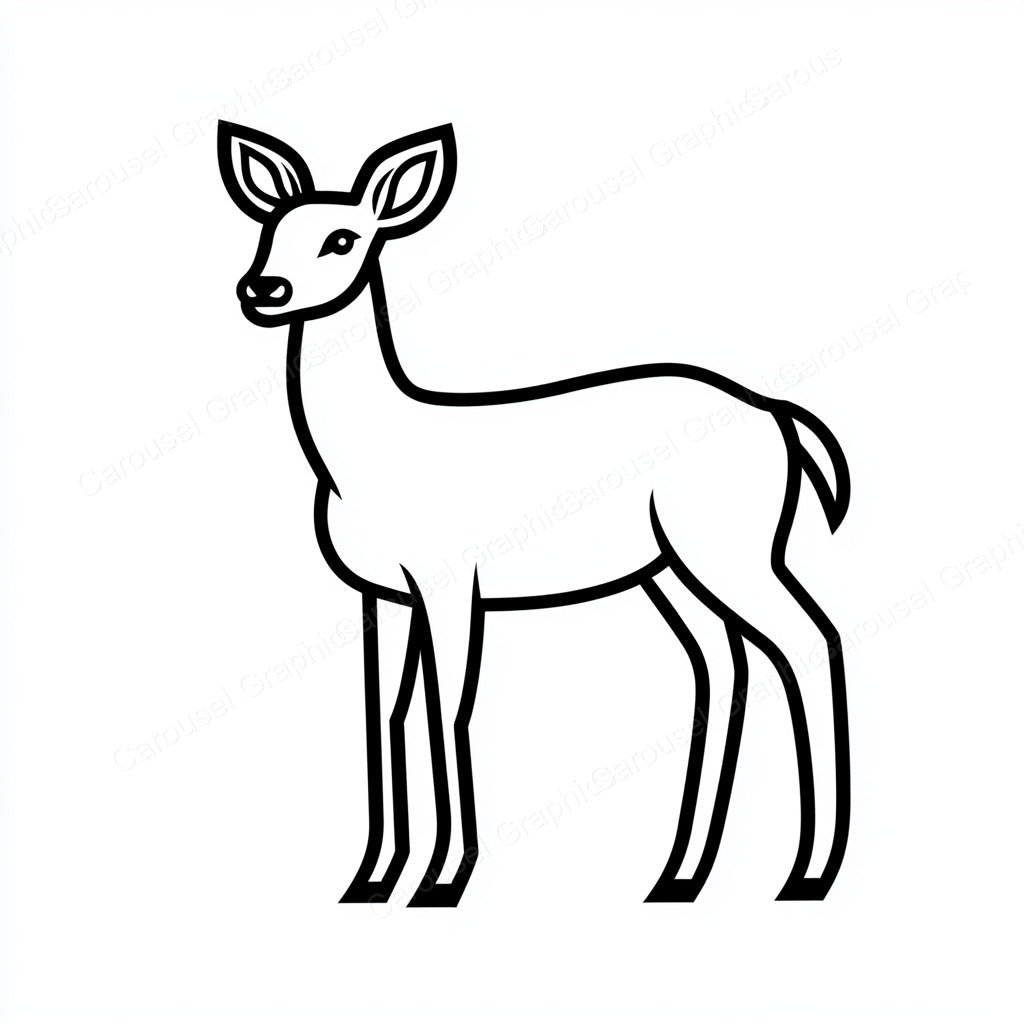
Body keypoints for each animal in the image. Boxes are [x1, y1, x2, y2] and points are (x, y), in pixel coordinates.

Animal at [217, 120, 852, 907]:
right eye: (269, 227)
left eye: (343, 238)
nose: (261, 289)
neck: (365, 456)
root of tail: (774, 412)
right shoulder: (382, 596)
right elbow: (386, 716)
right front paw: (371, 880)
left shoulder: (451, 586)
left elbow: (446, 710)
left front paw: (442, 880)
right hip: (668, 570)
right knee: (722, 664)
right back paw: (678, 875)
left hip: (731, 550)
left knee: (809, 640)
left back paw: (806, 873)